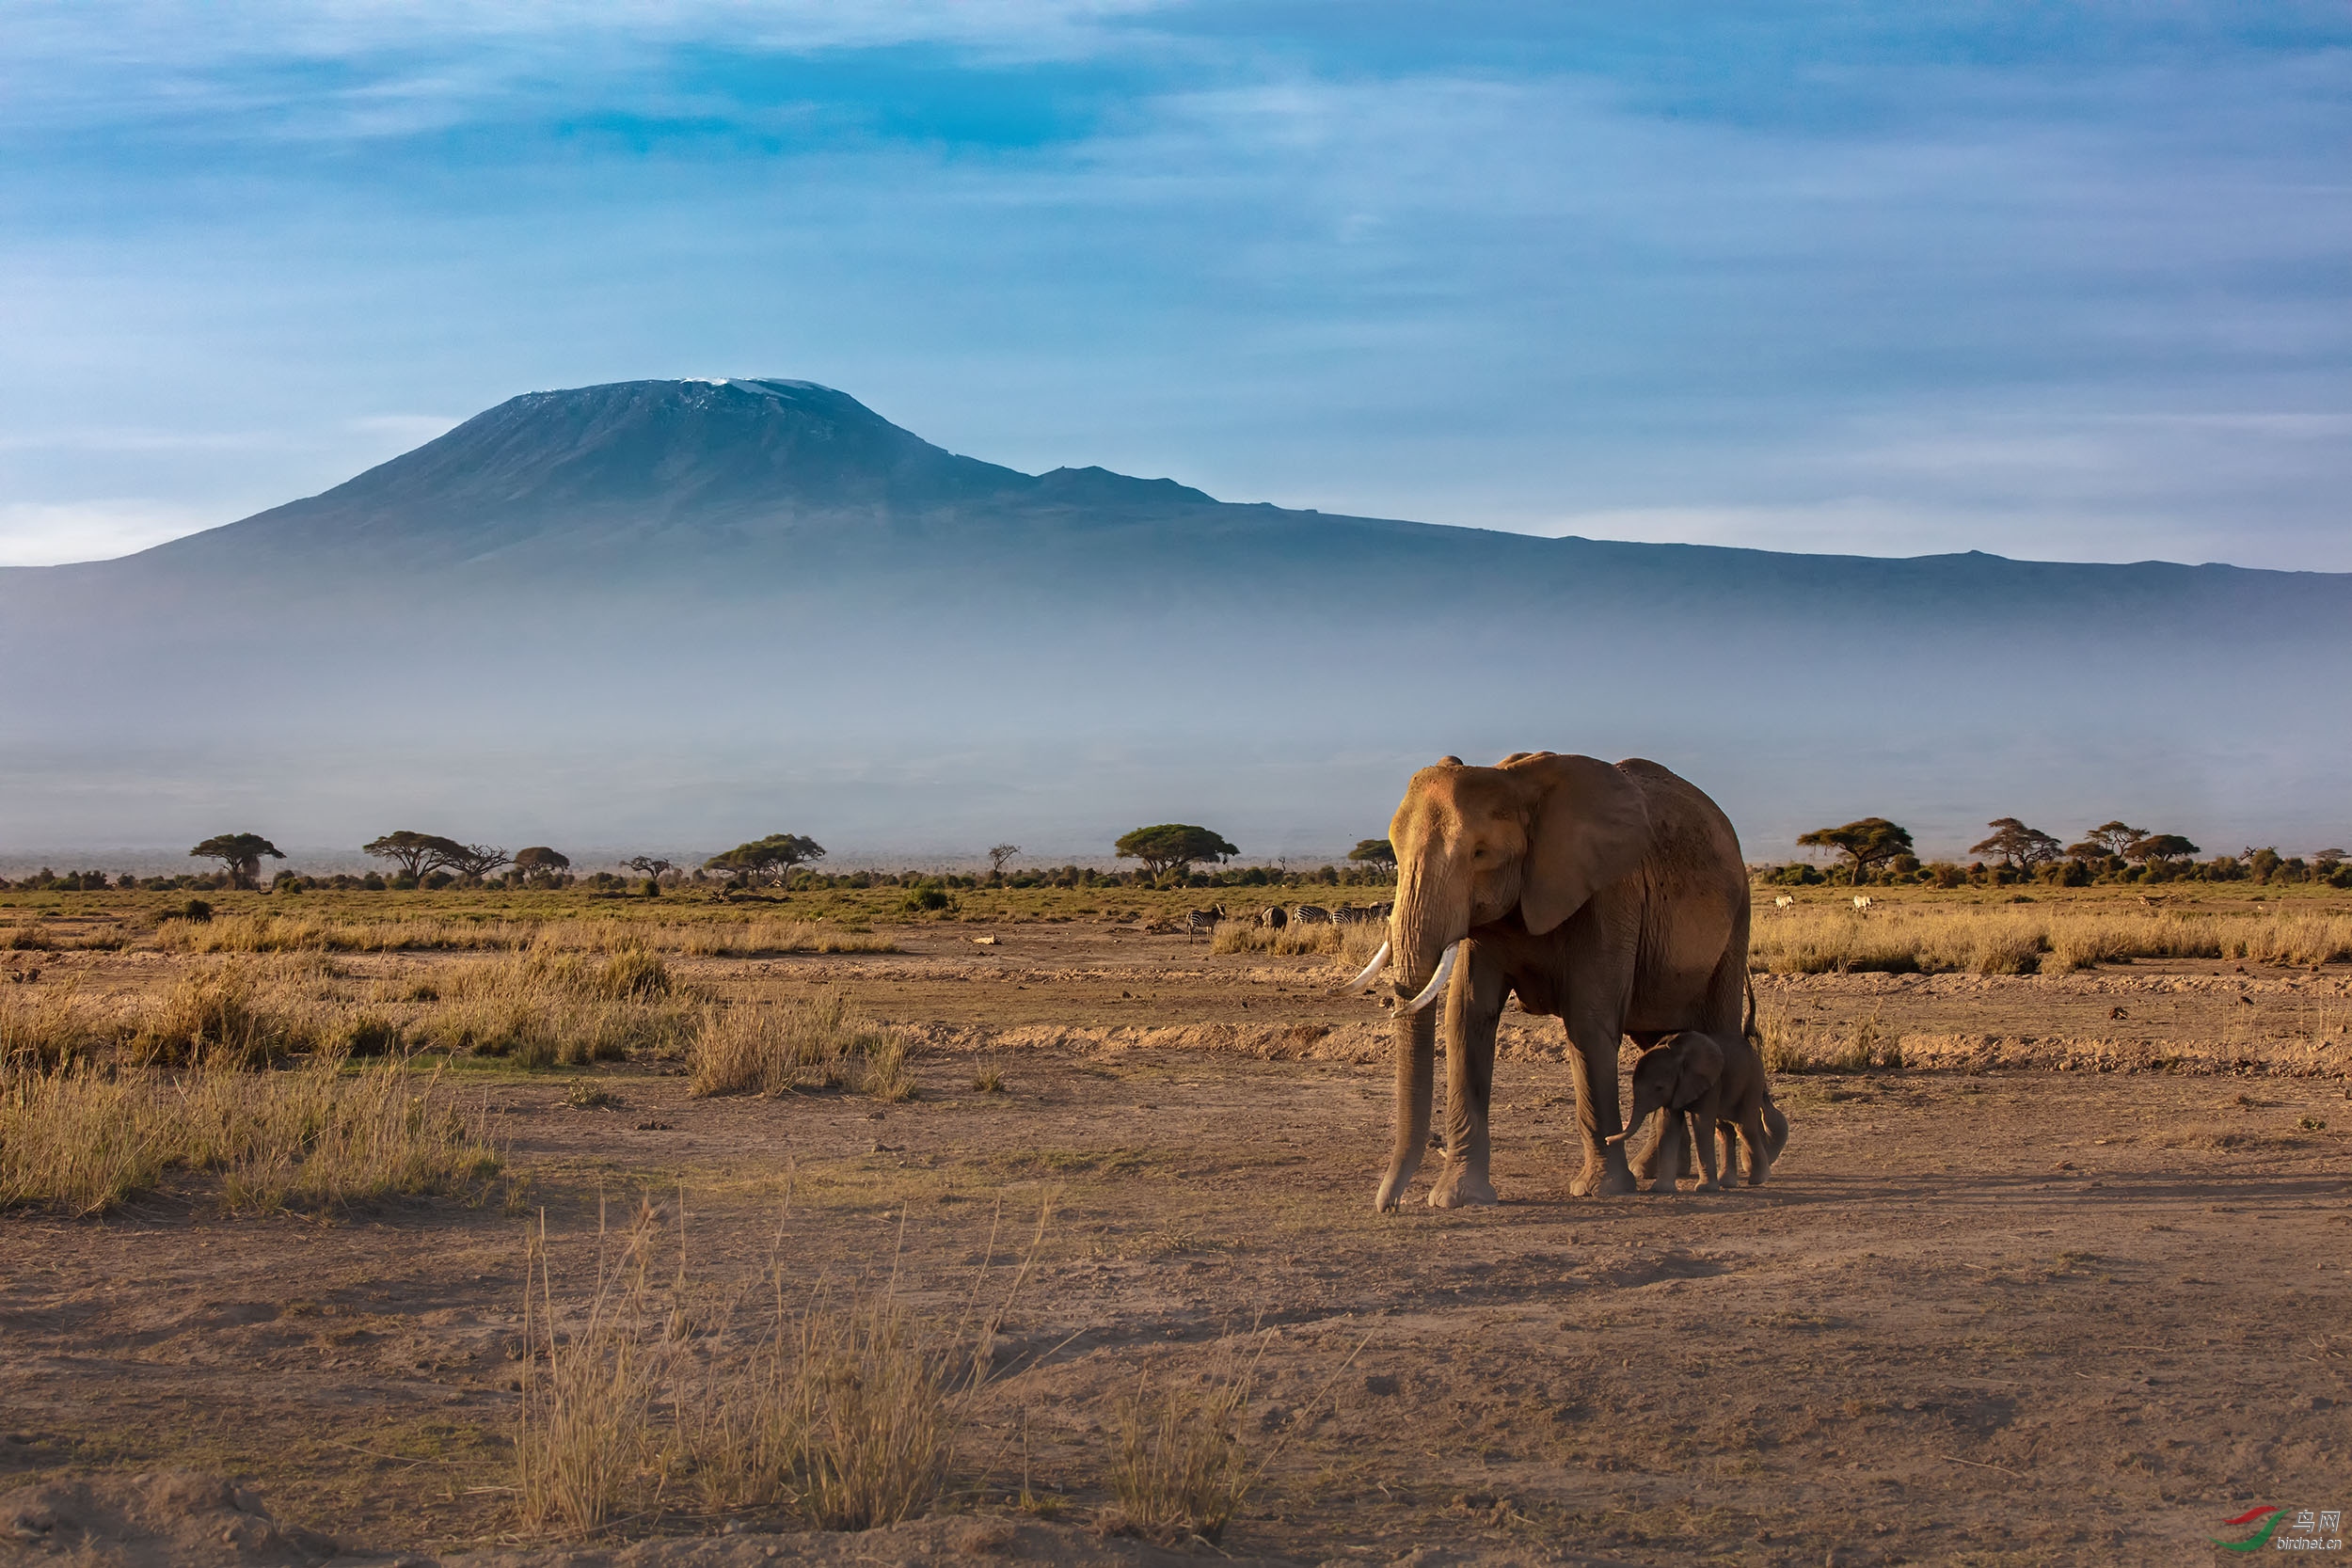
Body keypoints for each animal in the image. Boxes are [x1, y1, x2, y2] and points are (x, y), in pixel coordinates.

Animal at [1345, 752, 1750, 1212]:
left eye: (1480, 853)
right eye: (1394, 852)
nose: (1390, 1206)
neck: (1518, 783)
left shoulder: (1611, 893)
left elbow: (1588, 1022)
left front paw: (1601, 1190)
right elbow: (1466, 1017)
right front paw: (1457, 1198)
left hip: (1737, 918)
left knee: (1717, 1033)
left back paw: (1717, 1177)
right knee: (1661, 1043)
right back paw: (1657, 1173)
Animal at [1609, 1034, 1788, 1194]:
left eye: (1659, 1088)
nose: (1607, 1140)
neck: (1678, 1055)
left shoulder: (1710, 1083)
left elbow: (1702, 1124)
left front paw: (1705, 1189)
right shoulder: (1677, 1089)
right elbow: (1668, 1125)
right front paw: (1661, 1190)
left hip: (1752, 1080)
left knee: (1744, 1127)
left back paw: (1759, 1179)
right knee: (1724, 1130)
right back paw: (1727, 1182)